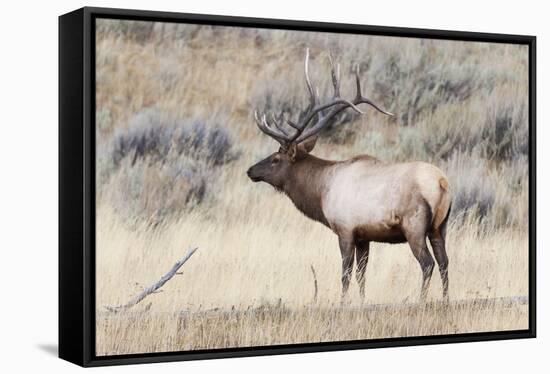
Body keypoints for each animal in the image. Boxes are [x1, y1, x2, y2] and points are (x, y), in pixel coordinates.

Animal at [249, 49, 452, 300]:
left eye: (275, 159)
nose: (250, 171)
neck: (321, 192)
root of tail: (441, 183)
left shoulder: (345, 230)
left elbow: (345, 274)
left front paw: (343, 302)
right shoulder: (364, 236)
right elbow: (361, 274)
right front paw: (362, 301)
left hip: (414, 226)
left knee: (428, 263)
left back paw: (422, 300)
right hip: (439, 227)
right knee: (444, 262)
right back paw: (445, 300)